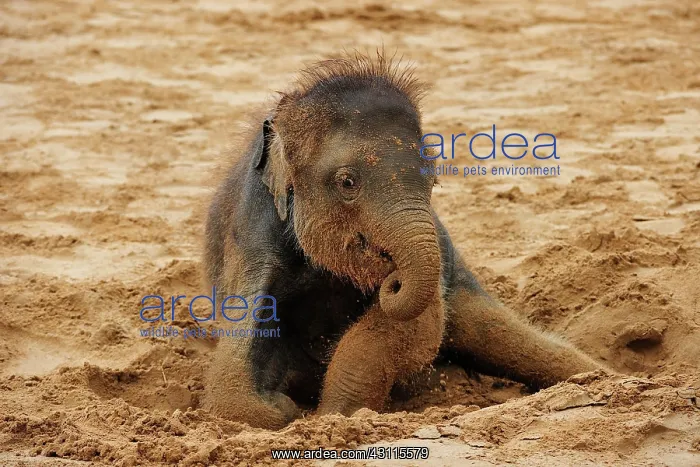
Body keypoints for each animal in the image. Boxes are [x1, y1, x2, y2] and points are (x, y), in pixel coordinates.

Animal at [202, 52, 606, 429]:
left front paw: (332, 416)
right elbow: (232, 379)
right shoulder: (253, 237)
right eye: (347, 182)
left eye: (434, 179)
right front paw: (285, 409)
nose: (393, 279)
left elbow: (417, 327)